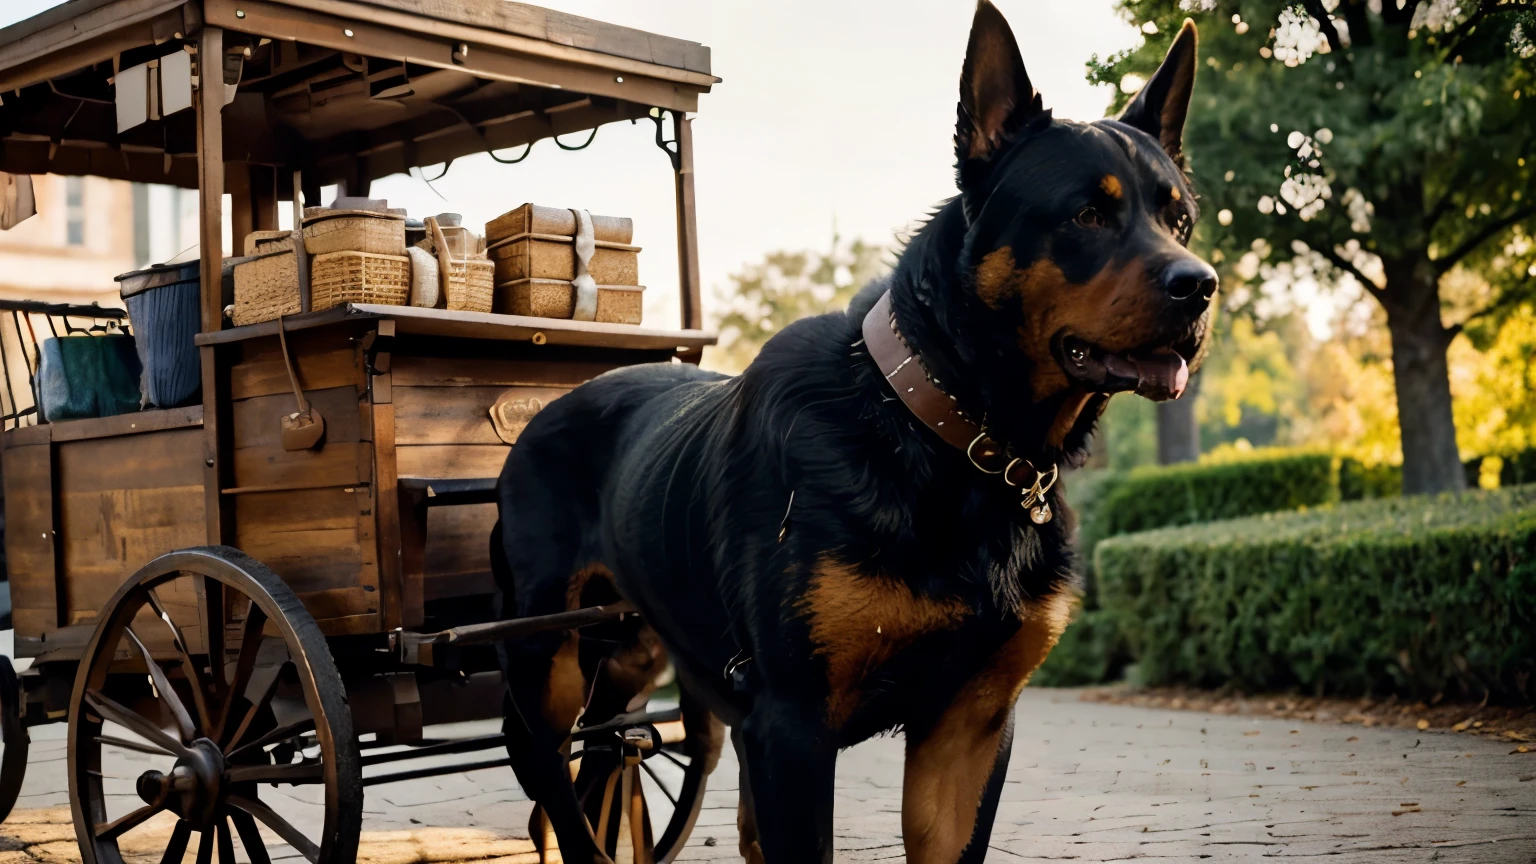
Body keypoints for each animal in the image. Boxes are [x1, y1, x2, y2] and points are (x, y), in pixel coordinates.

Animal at [497, 3, 1216, 854]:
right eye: (1087, 213)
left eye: (1179, 219)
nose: (1201, 286)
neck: (942, 431)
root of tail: (545, 409)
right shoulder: (793, 726)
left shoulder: (969, 730)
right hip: (546, 659)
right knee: (557, 785)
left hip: (633, 658)